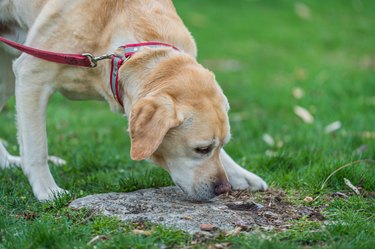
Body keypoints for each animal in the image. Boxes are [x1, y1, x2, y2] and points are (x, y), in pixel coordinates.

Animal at [1, 0, 268, 201]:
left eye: (221, 145)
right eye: (201, 149)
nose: (223, 189)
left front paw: (241, 175)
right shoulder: (33, 74)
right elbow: (36, 147)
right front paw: (48, 191)